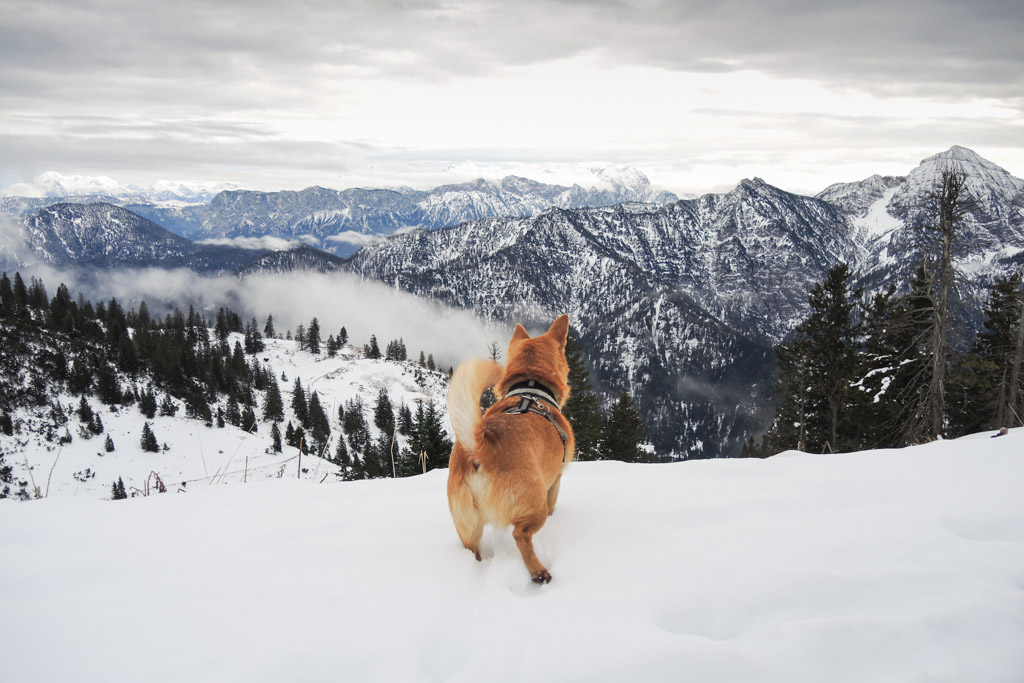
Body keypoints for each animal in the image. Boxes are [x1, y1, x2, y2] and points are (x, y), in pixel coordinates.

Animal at [448, 313, 577, 581]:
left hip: (466, 525)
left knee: (473, 549)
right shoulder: (556, 480)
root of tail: (481, 447)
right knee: (520, 534)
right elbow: (553, 503)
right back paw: (538, 572)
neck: (532, 387)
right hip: (534, 504)